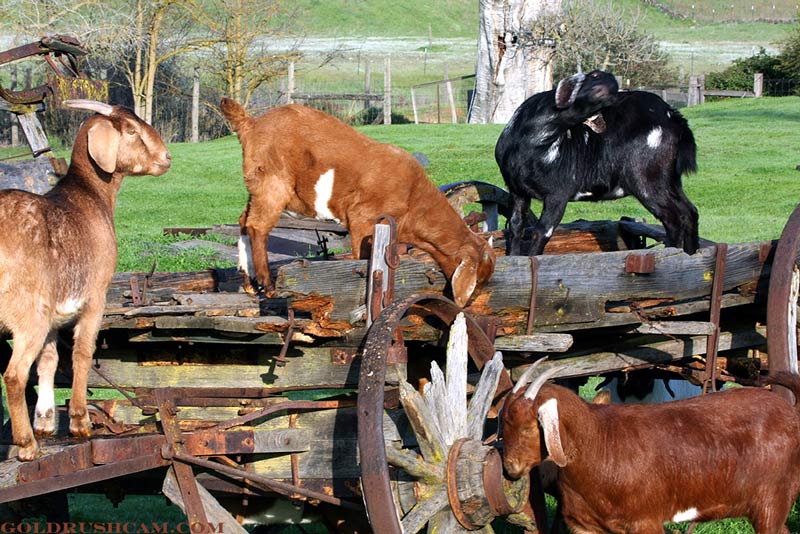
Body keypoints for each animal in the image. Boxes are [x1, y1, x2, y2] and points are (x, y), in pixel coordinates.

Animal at [0, 100, 170, 460]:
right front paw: (80, 423)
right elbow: (81, 353)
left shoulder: (54, 314)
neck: (89, 195)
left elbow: (49, 361)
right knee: (14, 374)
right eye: (131, 130)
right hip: (29, 311)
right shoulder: (95, 297)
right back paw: (26, 446)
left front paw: (46, 421)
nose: (166, 158)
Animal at [219, 99, 494, 308]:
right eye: (479, 279)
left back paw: (249, 283)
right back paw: (267, 285)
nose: (469, 304)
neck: (415, 201)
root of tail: (252, 123)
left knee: (244, 220)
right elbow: (361, 257)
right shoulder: (362, 217)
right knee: (257, 226)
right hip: (273, 182)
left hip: (256, 185)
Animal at [496, 70, 696, 258]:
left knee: (673, 218)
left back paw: (672, 253)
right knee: (689, 211)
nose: (611, 81)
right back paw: (692, 252)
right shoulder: (517, 190)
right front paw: (513, 257)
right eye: (594, 76)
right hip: (670, 179)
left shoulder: (558, 194)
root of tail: (674, 116)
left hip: (647, 179)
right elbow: (516, 227)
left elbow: (542, 231)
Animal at [504, 362, 800, 532]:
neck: (600, 442)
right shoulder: (585, 526)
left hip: (773, 499)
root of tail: (791, 411)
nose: (509, 467)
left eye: (530, 427)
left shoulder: (645, 521)